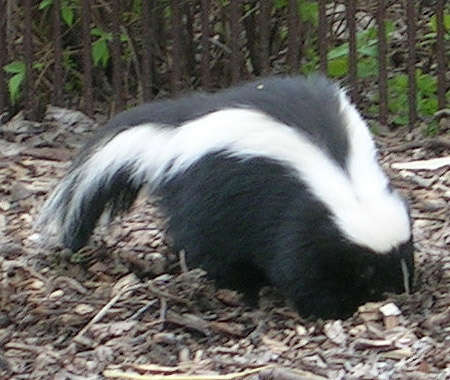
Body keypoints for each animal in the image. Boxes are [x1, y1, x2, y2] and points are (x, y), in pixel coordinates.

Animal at [38, 75, 414, 320]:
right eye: (364, 269)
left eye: (403, 258)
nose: (399, 290)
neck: (349, 187)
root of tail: (178, 132)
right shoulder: (298, 219)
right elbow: (298, 268)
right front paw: (329, 308)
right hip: (210, 198)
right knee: (208, 248)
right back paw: (240, 289)